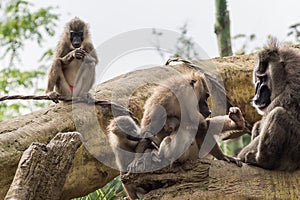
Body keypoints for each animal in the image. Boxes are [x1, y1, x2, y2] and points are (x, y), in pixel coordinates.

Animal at [238, 38, 300, 171]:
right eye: (258, 78)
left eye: (264, 78)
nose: (257, 95)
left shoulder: (288, 94)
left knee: (277, 114)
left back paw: (262, 161)